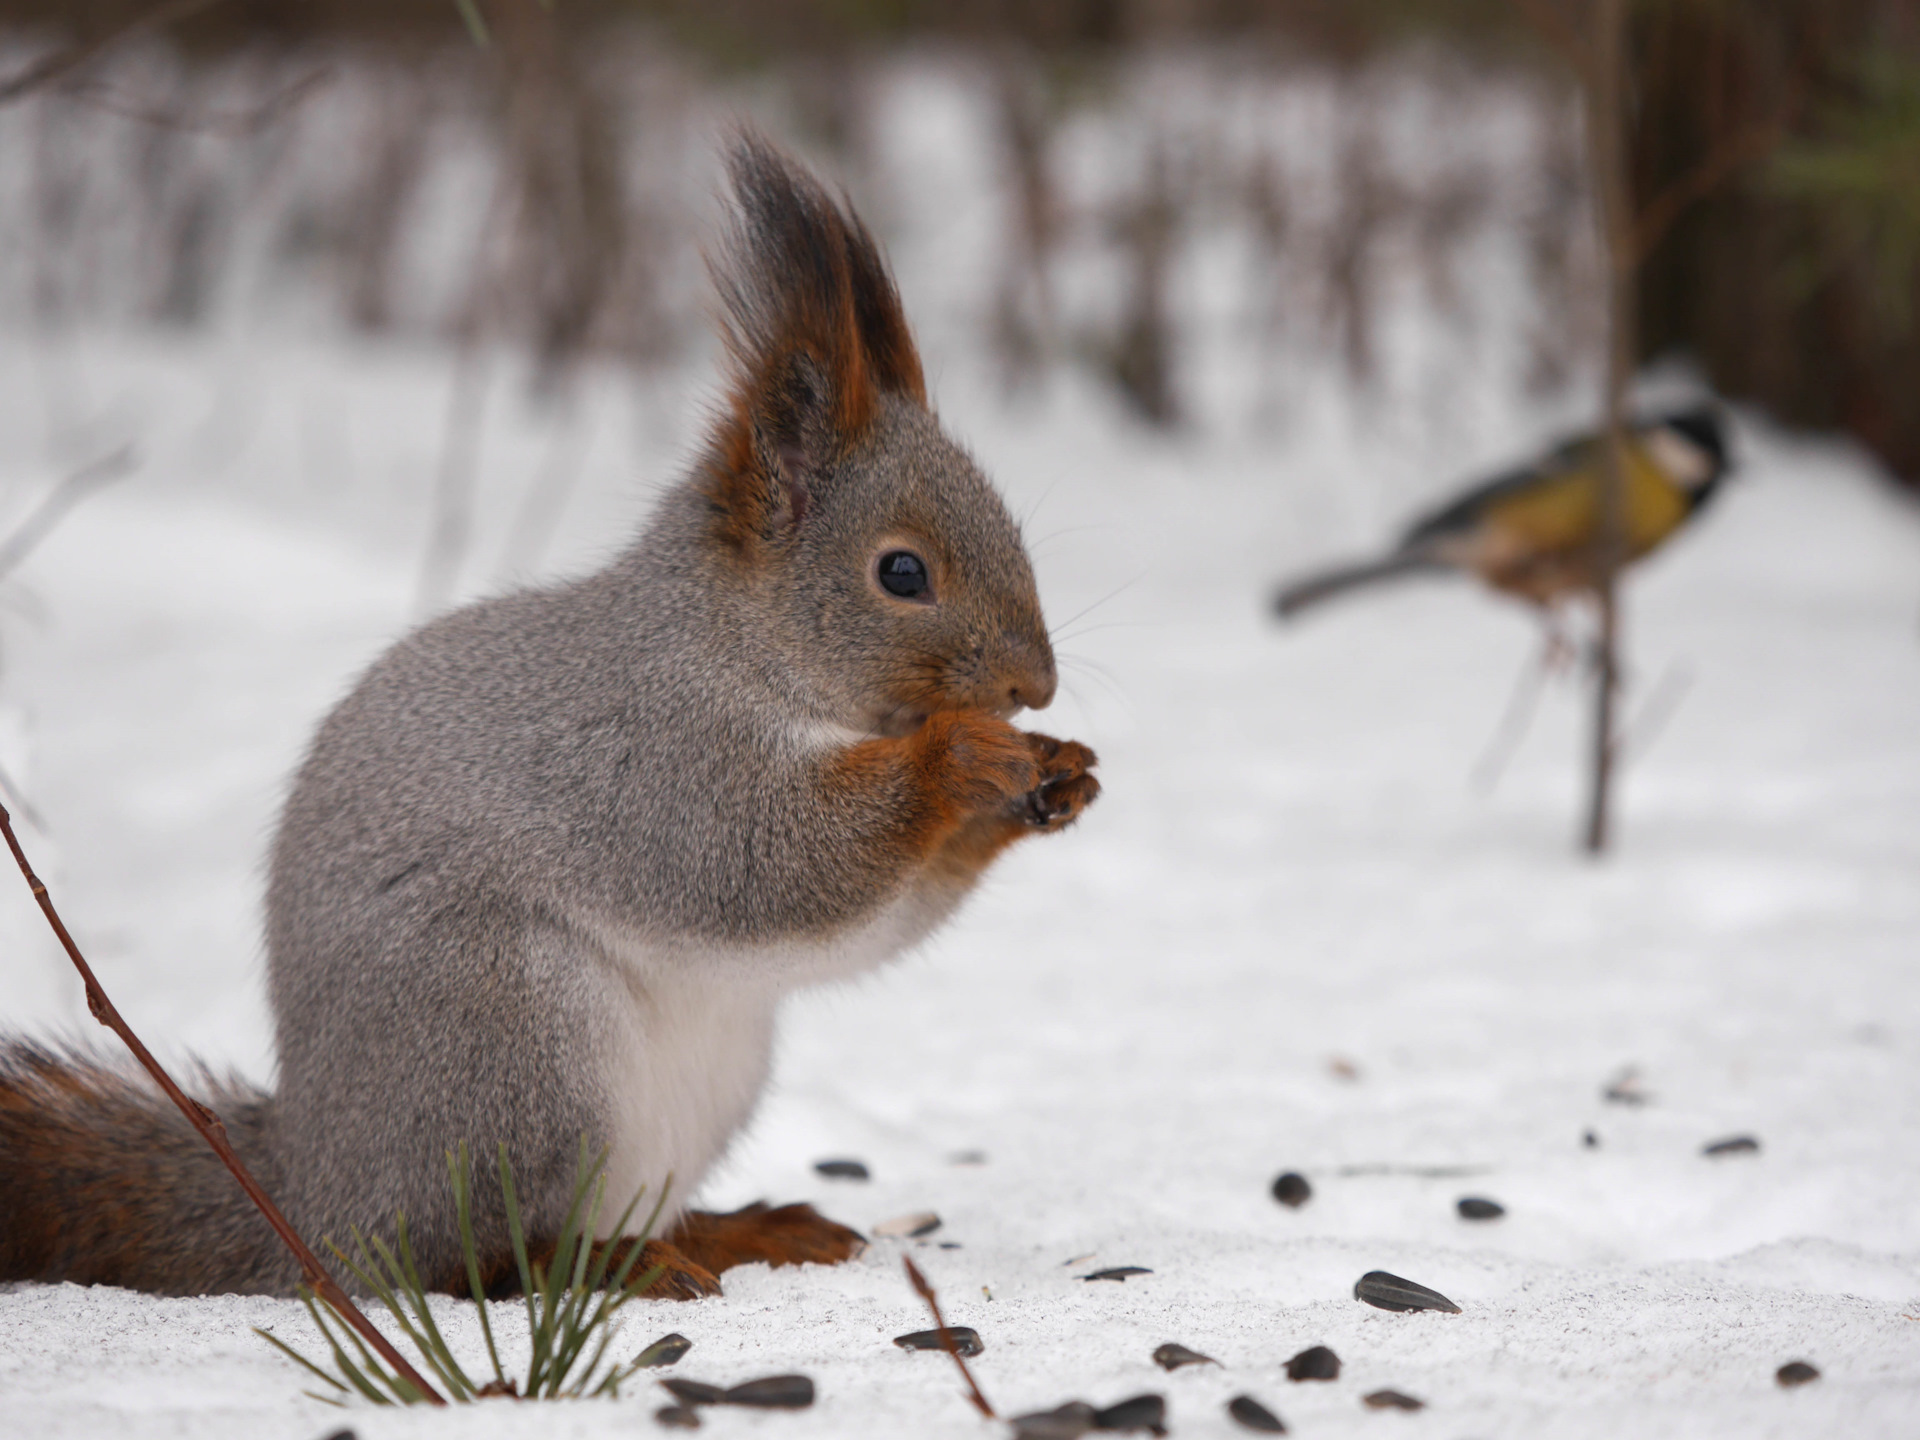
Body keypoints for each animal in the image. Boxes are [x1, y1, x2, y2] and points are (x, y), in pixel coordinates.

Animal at [0, 135, 1105, 1305]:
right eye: (902, 573)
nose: (1035, 685)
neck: (743, 650)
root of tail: (316, 1197)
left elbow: (877, 920)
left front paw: (1056, 775)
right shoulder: (653, 759)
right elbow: (774, 863)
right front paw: (961, 759)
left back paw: (740, 1232)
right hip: (510, 1042)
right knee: (468, 1260)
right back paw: (620, 1265)